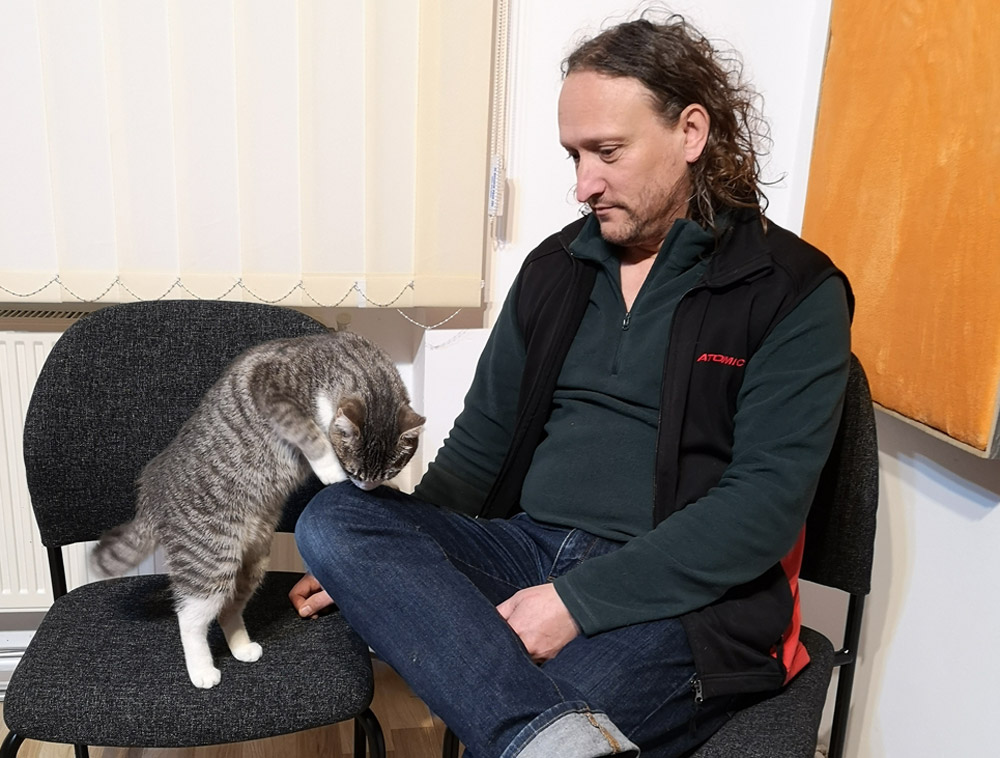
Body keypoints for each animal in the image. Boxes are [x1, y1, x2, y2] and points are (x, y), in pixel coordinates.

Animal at [90, 330, 424, 688]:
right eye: (354, 471)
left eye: (384, 473)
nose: (364, 487)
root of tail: (151, 495)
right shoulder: (271, 387)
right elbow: (311, 436)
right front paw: (331, 471)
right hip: (210, 559)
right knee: (191, 617)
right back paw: (202, 670)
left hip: (253, 561)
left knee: (228, 609)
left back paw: (242, 648)